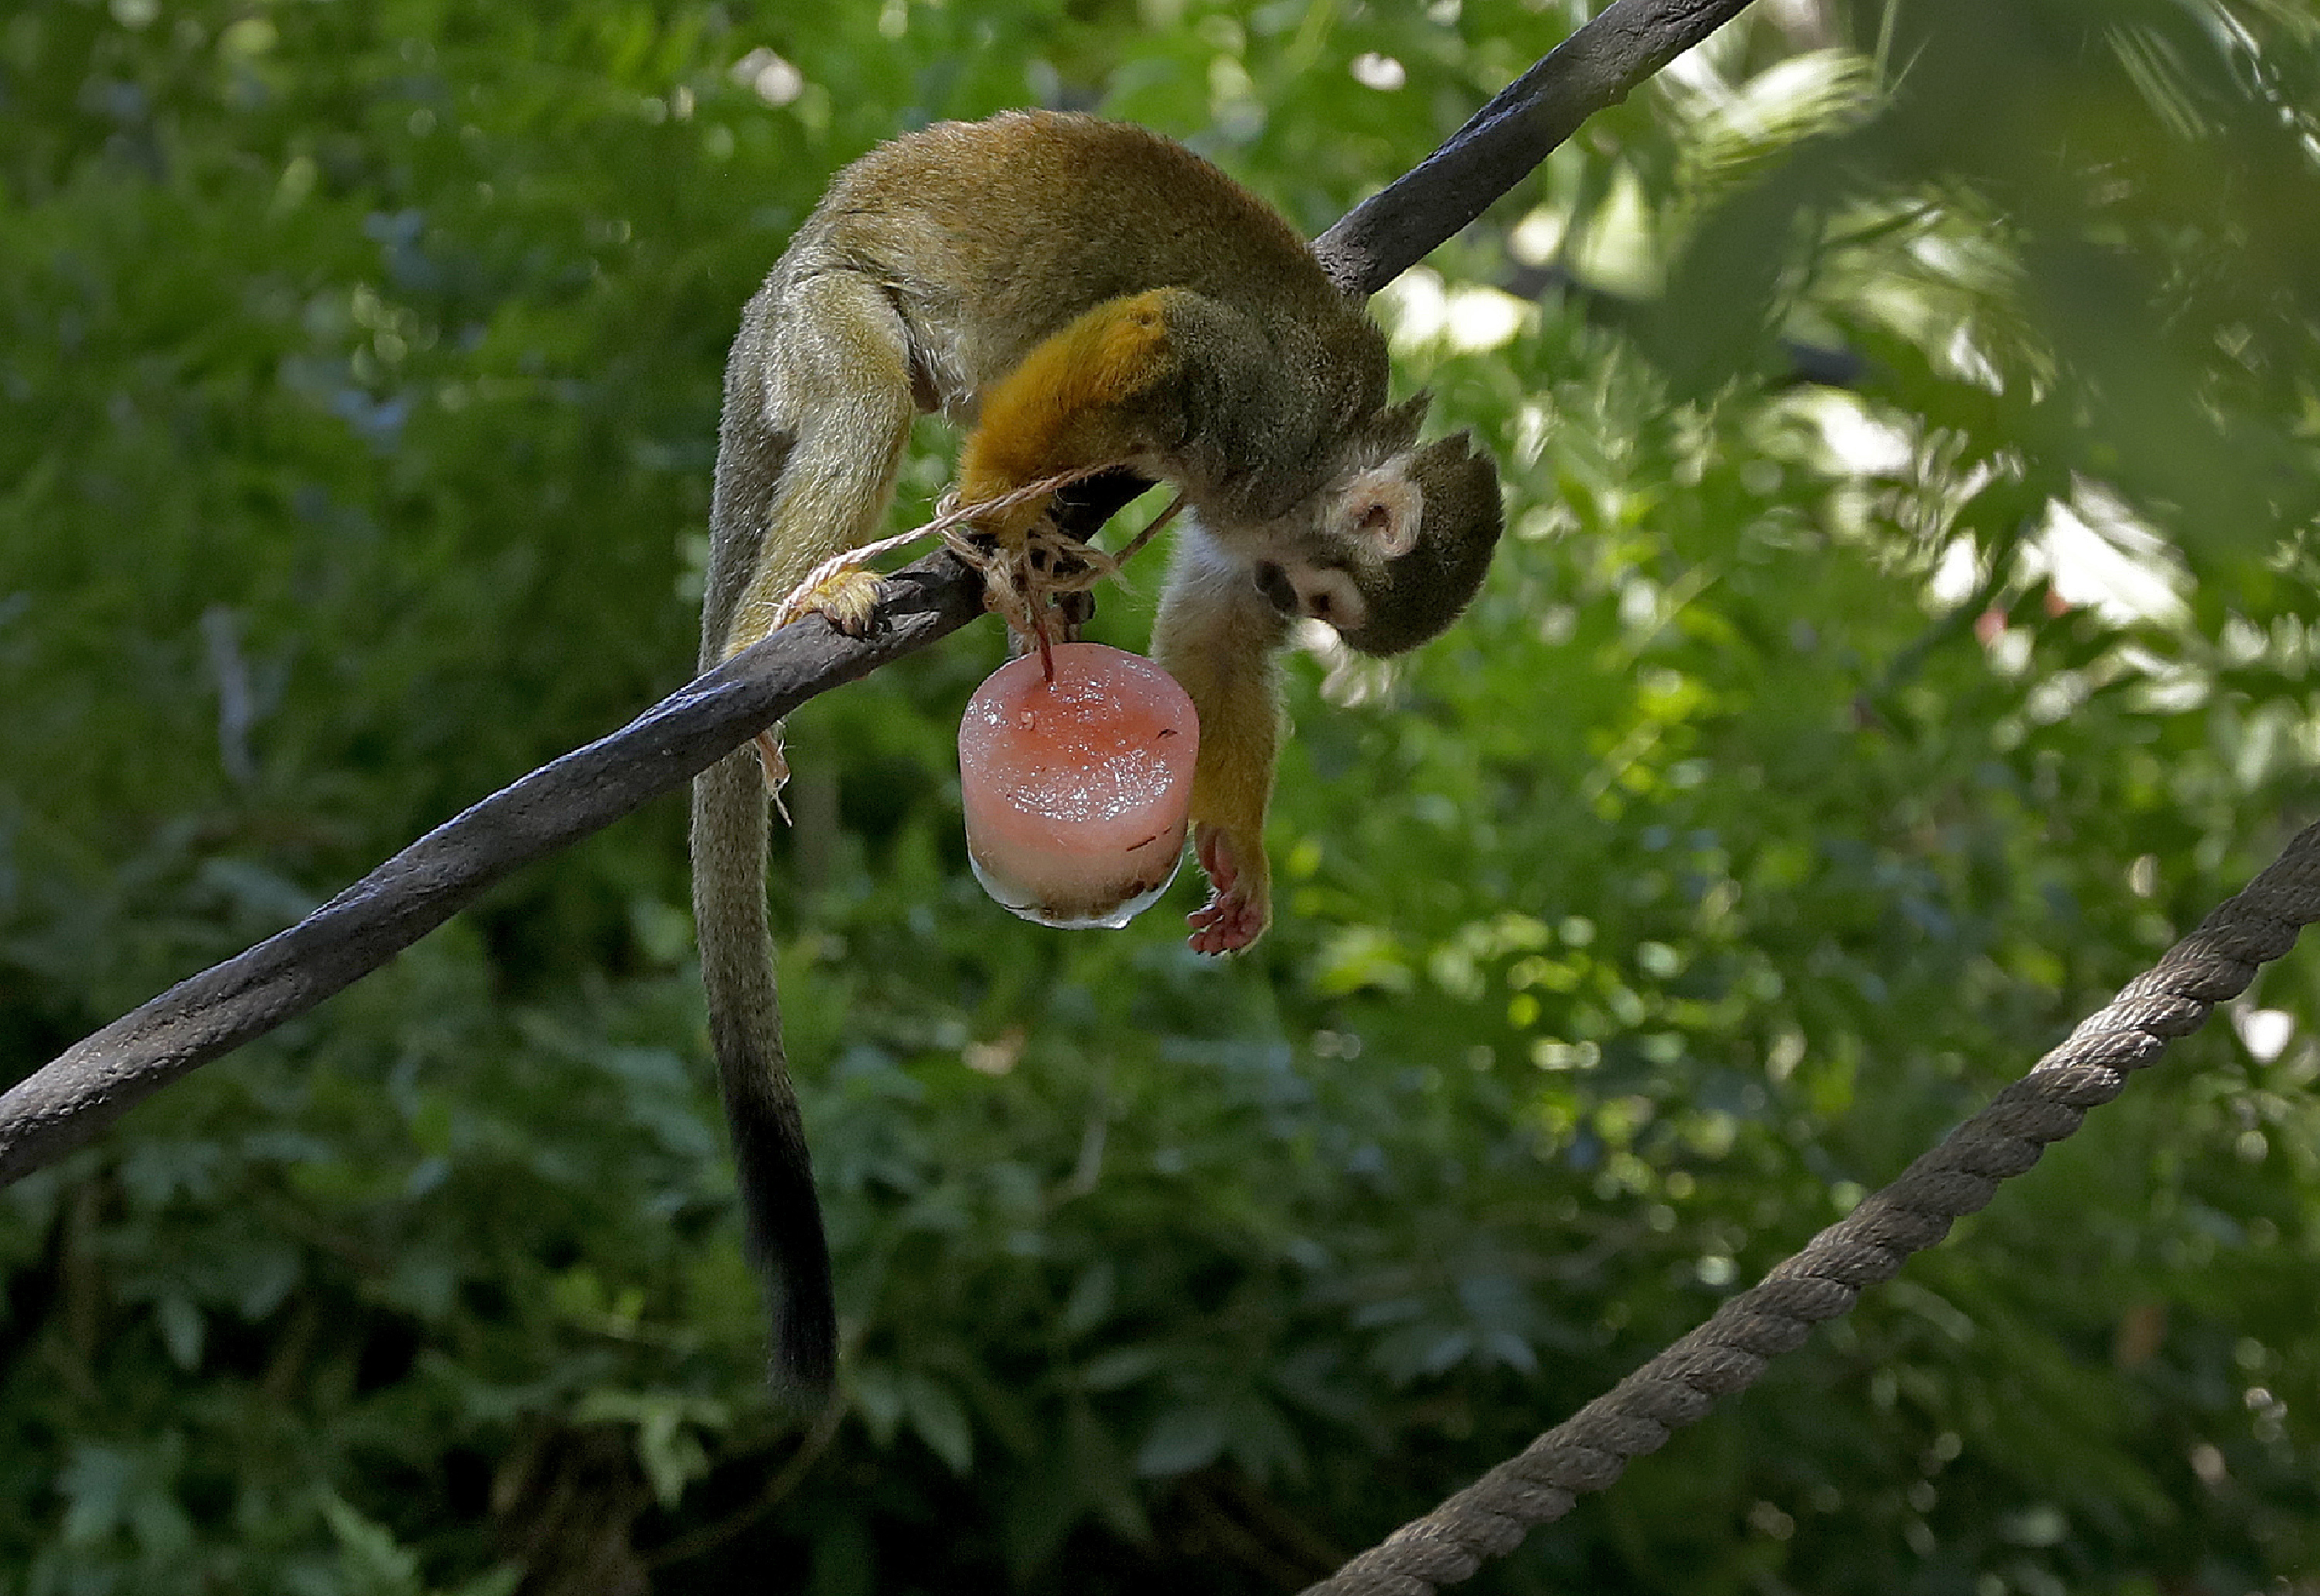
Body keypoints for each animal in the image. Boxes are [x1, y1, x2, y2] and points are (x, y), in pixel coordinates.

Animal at [691, 109, 1503, 1392]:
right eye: (1324, 595)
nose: (1292, 598)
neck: (1325, 453)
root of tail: (802, 246)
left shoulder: (1251, 494)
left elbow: (1213, 626)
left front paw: (1238, 852)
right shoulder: (1265, 419)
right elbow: (1154, 330)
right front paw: (993, 502)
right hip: (825, 314)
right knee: (865, 403)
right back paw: (782, 621)